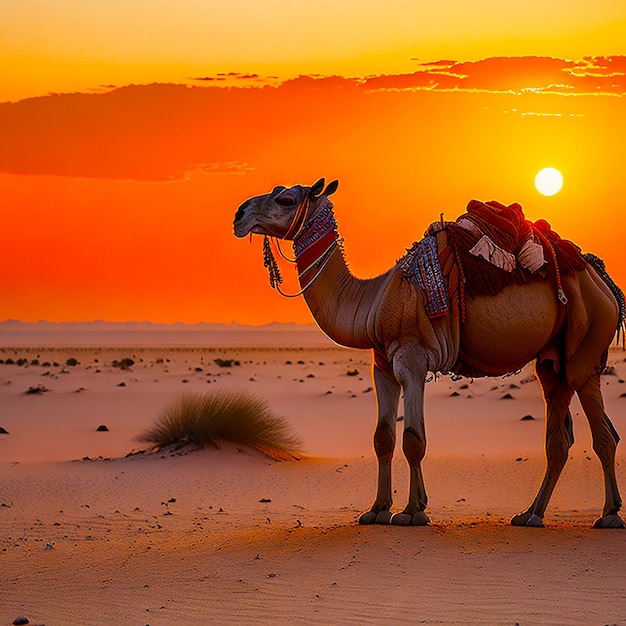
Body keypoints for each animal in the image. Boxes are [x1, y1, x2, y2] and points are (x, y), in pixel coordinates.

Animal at [232, 177, 620, 528]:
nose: (239, 214)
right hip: (554, 361)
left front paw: (412, 511)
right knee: (561, 436)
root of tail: (603, 281)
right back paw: (531, 515)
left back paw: (608, 516)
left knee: (601, 435)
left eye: (285, 199)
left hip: (586, 344)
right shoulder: (383, 366)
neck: (374, 302)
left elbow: (413, 439)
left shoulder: (412, 359)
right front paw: (377, 510)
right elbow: (383, 438)